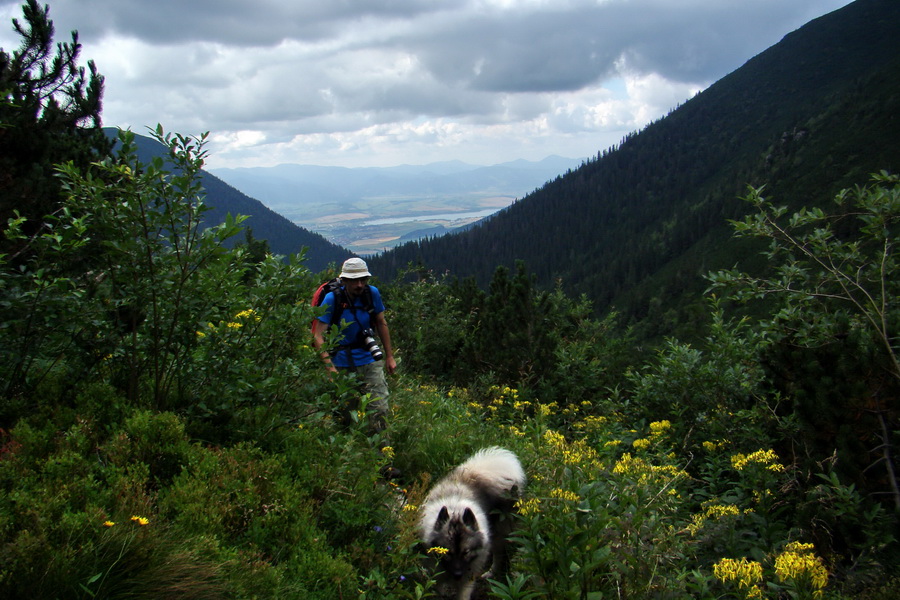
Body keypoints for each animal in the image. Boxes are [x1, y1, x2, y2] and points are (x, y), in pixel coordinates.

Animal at [420, 448, 528, 596]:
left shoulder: (467, 578)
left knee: (499, 555)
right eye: (448, 552)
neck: (456, 511)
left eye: (466, 552)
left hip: (500, 534)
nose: (458, 574)